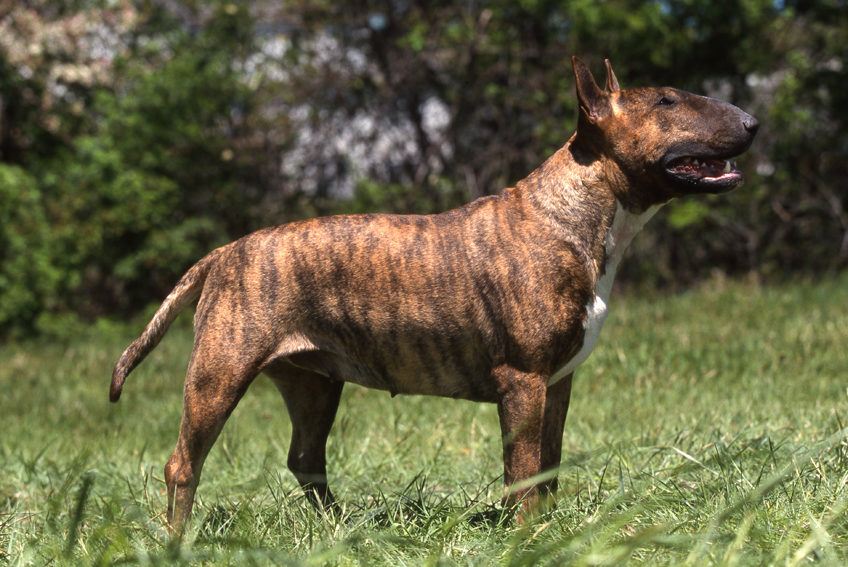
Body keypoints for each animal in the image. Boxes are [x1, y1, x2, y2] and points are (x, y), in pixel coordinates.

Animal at [111, 58, 756, 536]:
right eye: (668, 102)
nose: (752, 123)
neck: (574, 212)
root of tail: (223, 254)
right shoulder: (523, 381)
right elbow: (522, 470)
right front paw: (529, 537)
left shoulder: (558, 380)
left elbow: (548, 464)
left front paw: (553, 530)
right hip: (220, 372)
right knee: (184, 462)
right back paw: (178, 540)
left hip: (314, 381)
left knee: (306, 459)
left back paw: (347, 527)